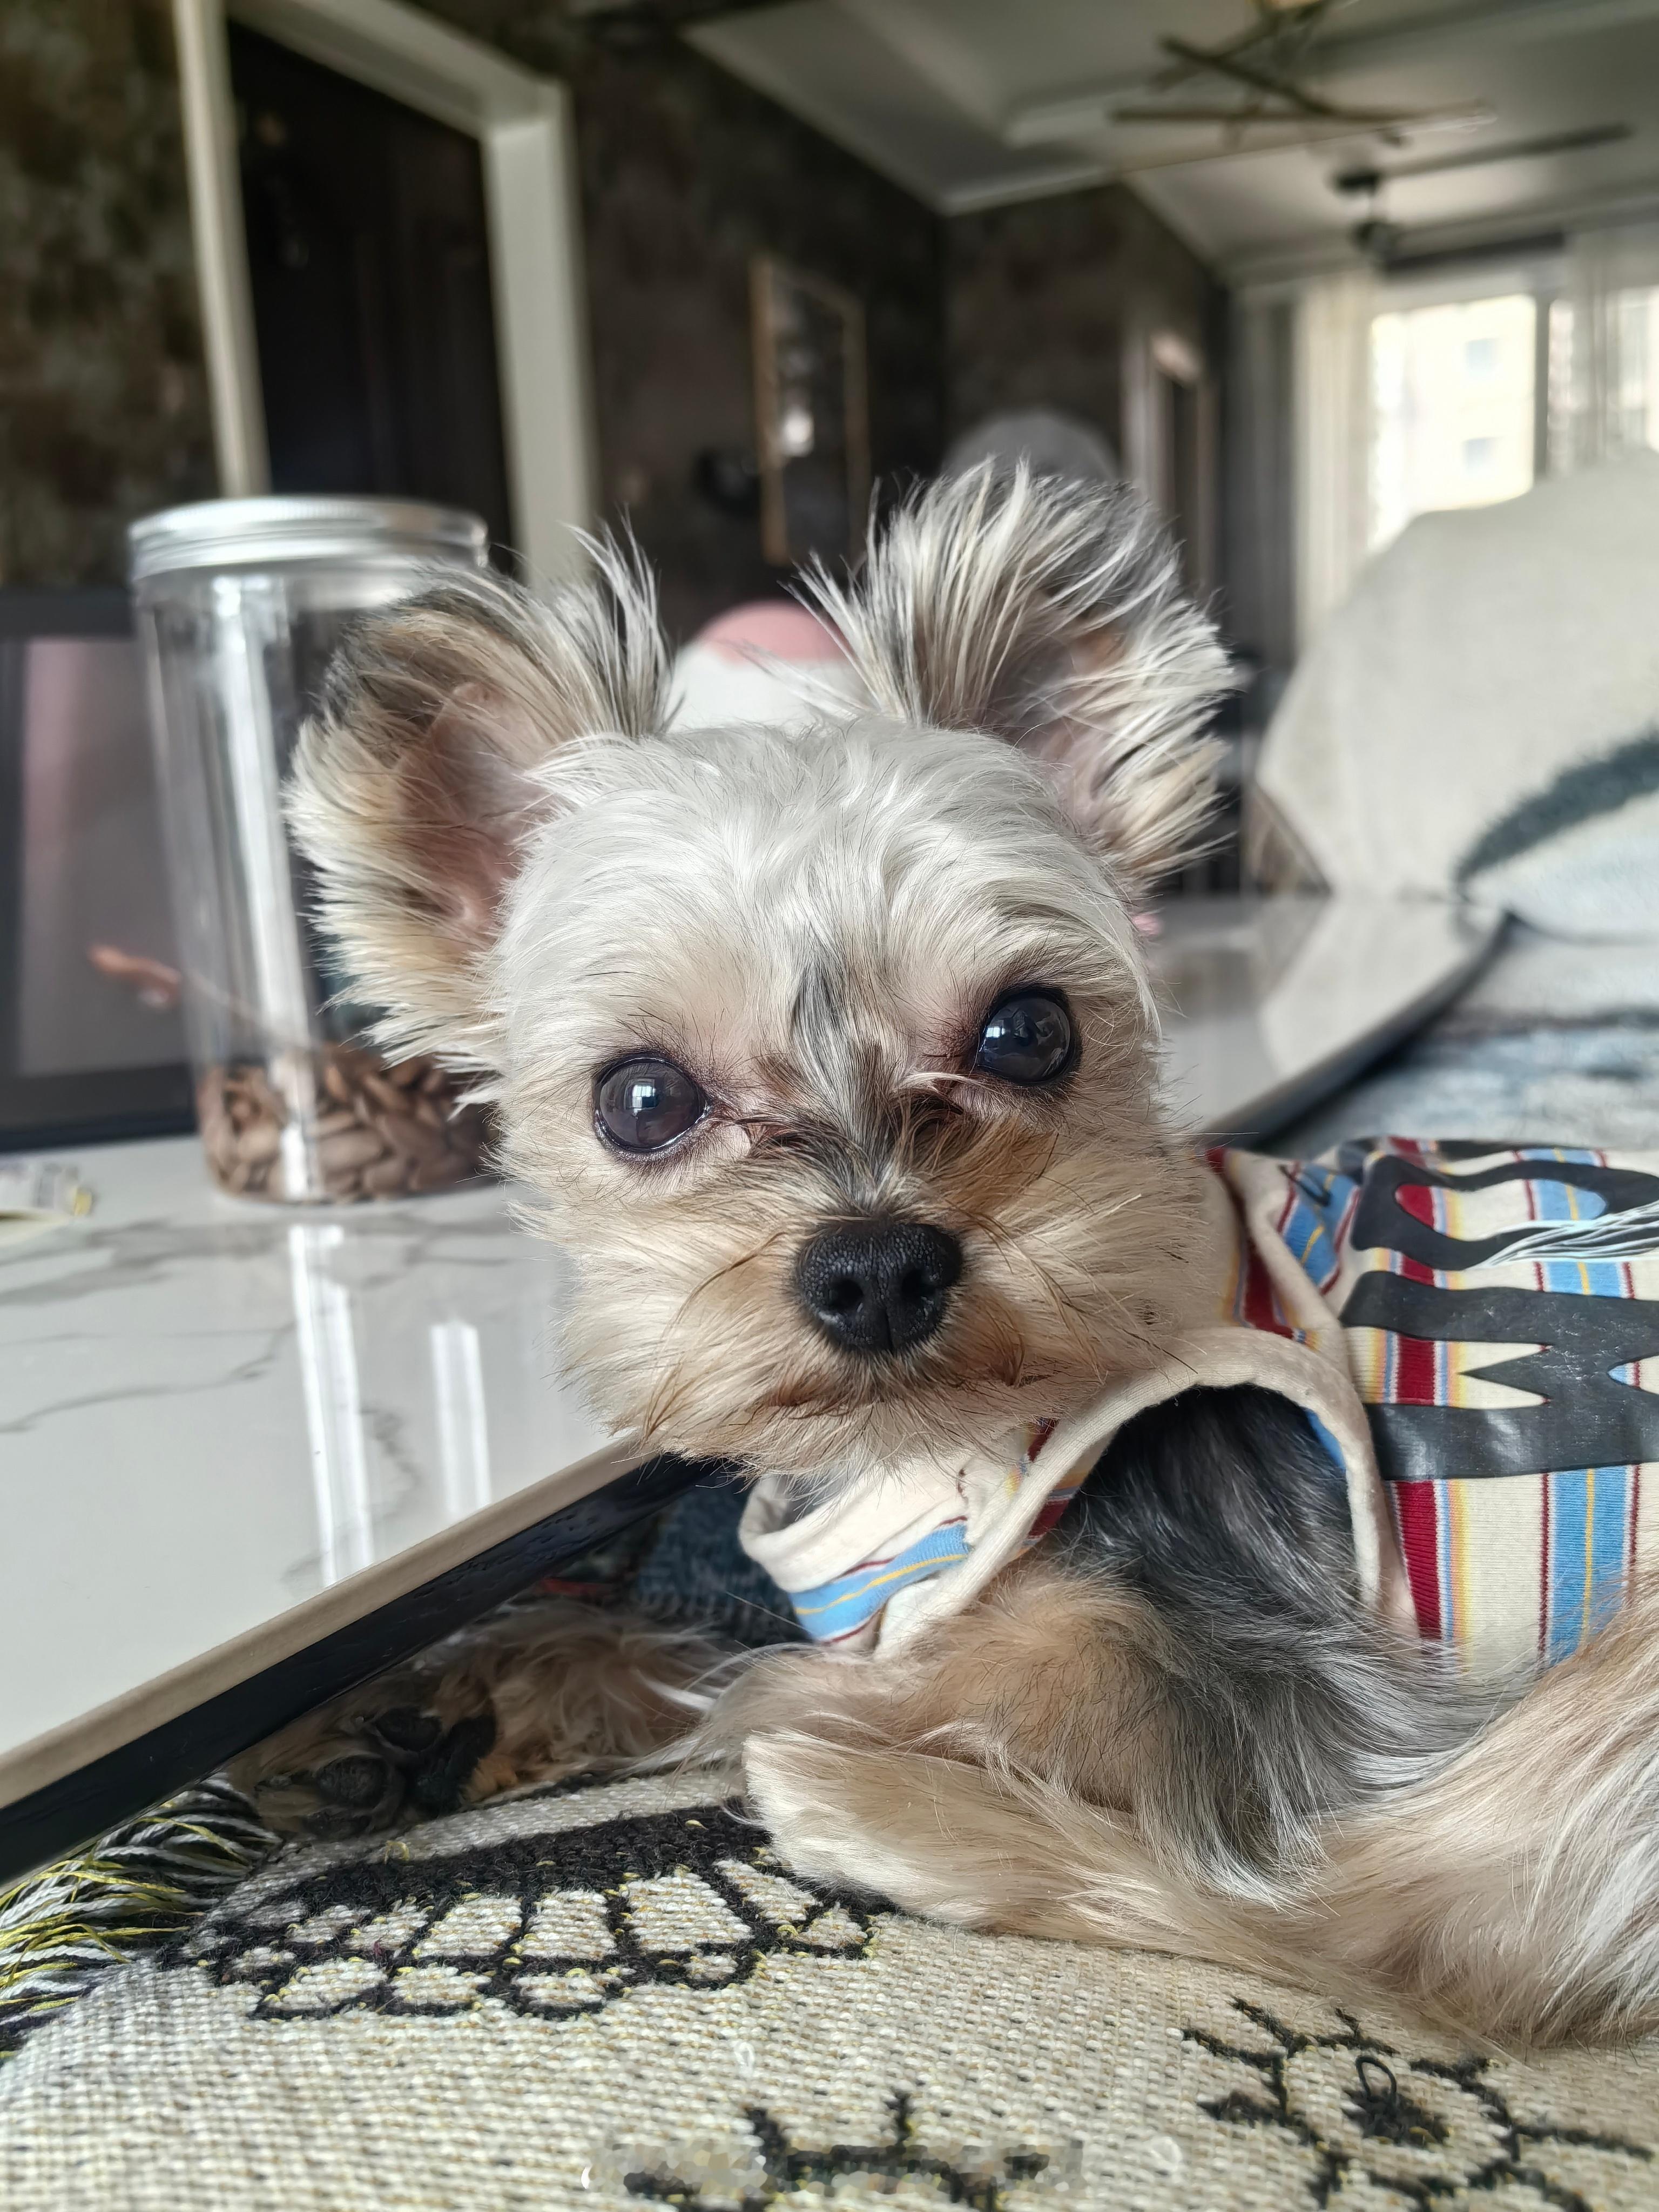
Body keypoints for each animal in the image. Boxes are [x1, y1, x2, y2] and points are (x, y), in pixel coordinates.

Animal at [237, 468, 1659, 2049]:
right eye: (642, 1100)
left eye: (1027, 1029)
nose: (874, 1267)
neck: (932, 1452)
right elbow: (709, 1631)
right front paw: (431, 1698)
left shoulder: (1279, 1688)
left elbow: (825, 1677)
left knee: (1393, 1936)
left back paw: (879, 1816)